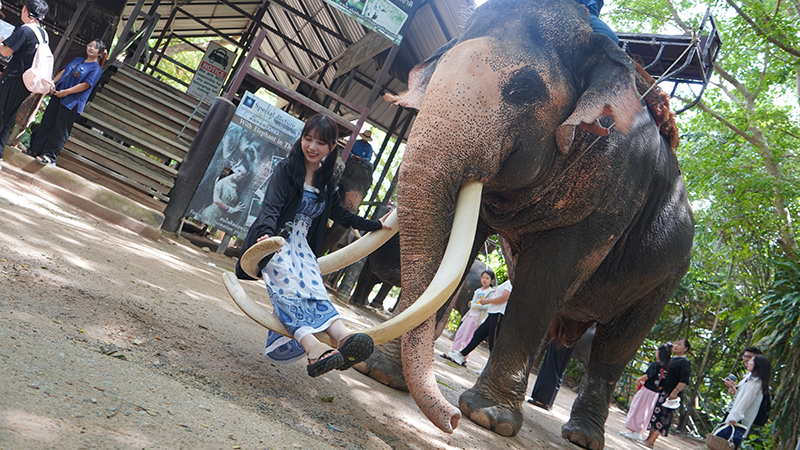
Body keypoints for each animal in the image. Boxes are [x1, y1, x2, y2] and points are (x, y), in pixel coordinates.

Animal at [376, 0, 692, 446]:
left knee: (614, 350)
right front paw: (381, 373)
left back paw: (581, 437)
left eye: (524, 90)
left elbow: (542, 281)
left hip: (665, 280)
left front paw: (489, 418)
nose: (450, 422)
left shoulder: (610, 196)